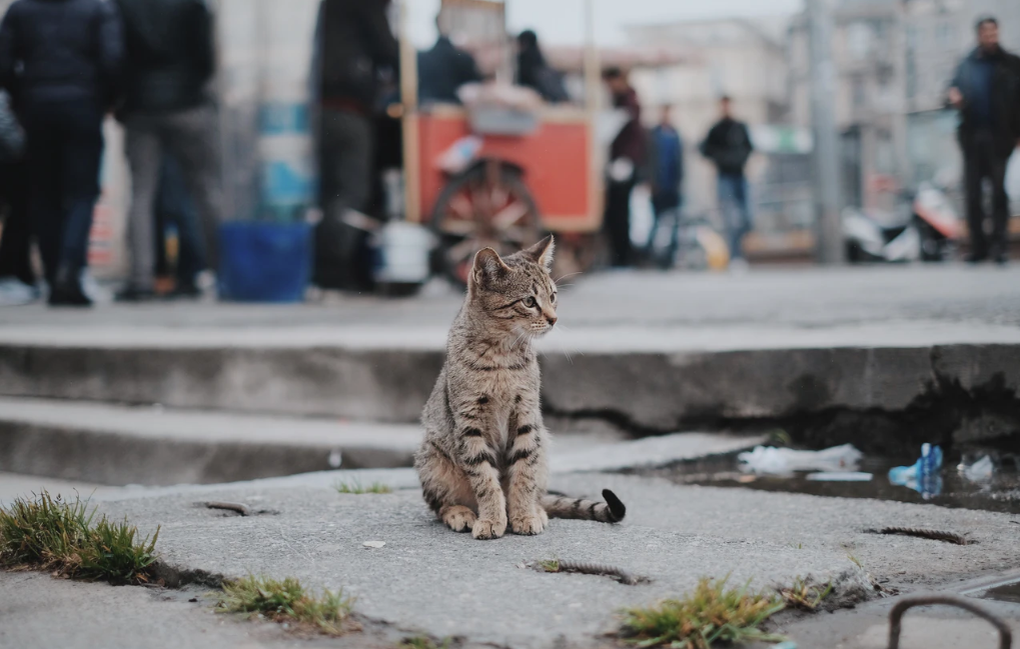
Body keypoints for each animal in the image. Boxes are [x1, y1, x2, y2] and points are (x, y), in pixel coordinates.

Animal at [412, 235, 620, 538]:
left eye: (553, 296)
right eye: (529, 301)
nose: (554, 318)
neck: (502, 355)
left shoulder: (526, 416)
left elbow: (523, 474)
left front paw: (523, 515)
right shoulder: (469, 423)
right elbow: (485, 479)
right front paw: (491, 519)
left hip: (543, 444)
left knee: (537, 488)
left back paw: (536, 510)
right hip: (432, 458)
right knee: (439, 504)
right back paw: (460, 513)